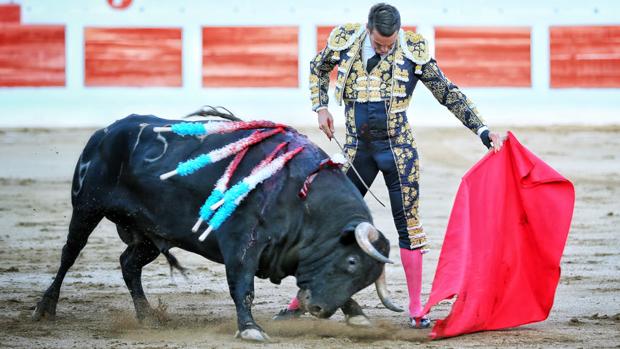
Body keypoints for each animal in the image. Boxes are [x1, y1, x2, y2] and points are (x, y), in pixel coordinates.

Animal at [32, 113, 402, 340]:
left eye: (364, 277)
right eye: (351, 261)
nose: (319, 310)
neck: (302, 196)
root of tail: (104, 132)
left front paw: (356, 314)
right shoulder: (242, 244)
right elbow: (243, 287)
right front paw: (250, 329)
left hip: (152, 235)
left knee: (128, 264)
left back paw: (148, 317)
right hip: (86, 207)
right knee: (69, 254)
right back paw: (44, 310)